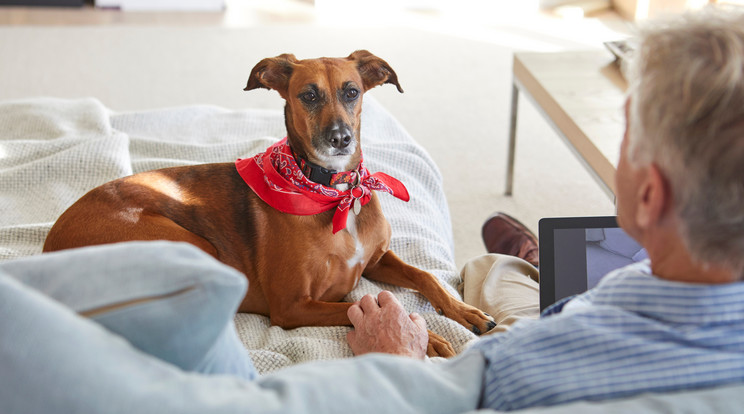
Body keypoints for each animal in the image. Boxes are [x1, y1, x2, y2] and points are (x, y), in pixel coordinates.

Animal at [40, 51, 494, 356]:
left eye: (352, 92)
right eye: (308, 95)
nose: (340, 139)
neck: (334, 193)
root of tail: (48, 249)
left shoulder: (377, 259)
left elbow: (425, 276)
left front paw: (466, 312)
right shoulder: (293, 306)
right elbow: (353, 305)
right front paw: (425, 337)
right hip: (192, 246)